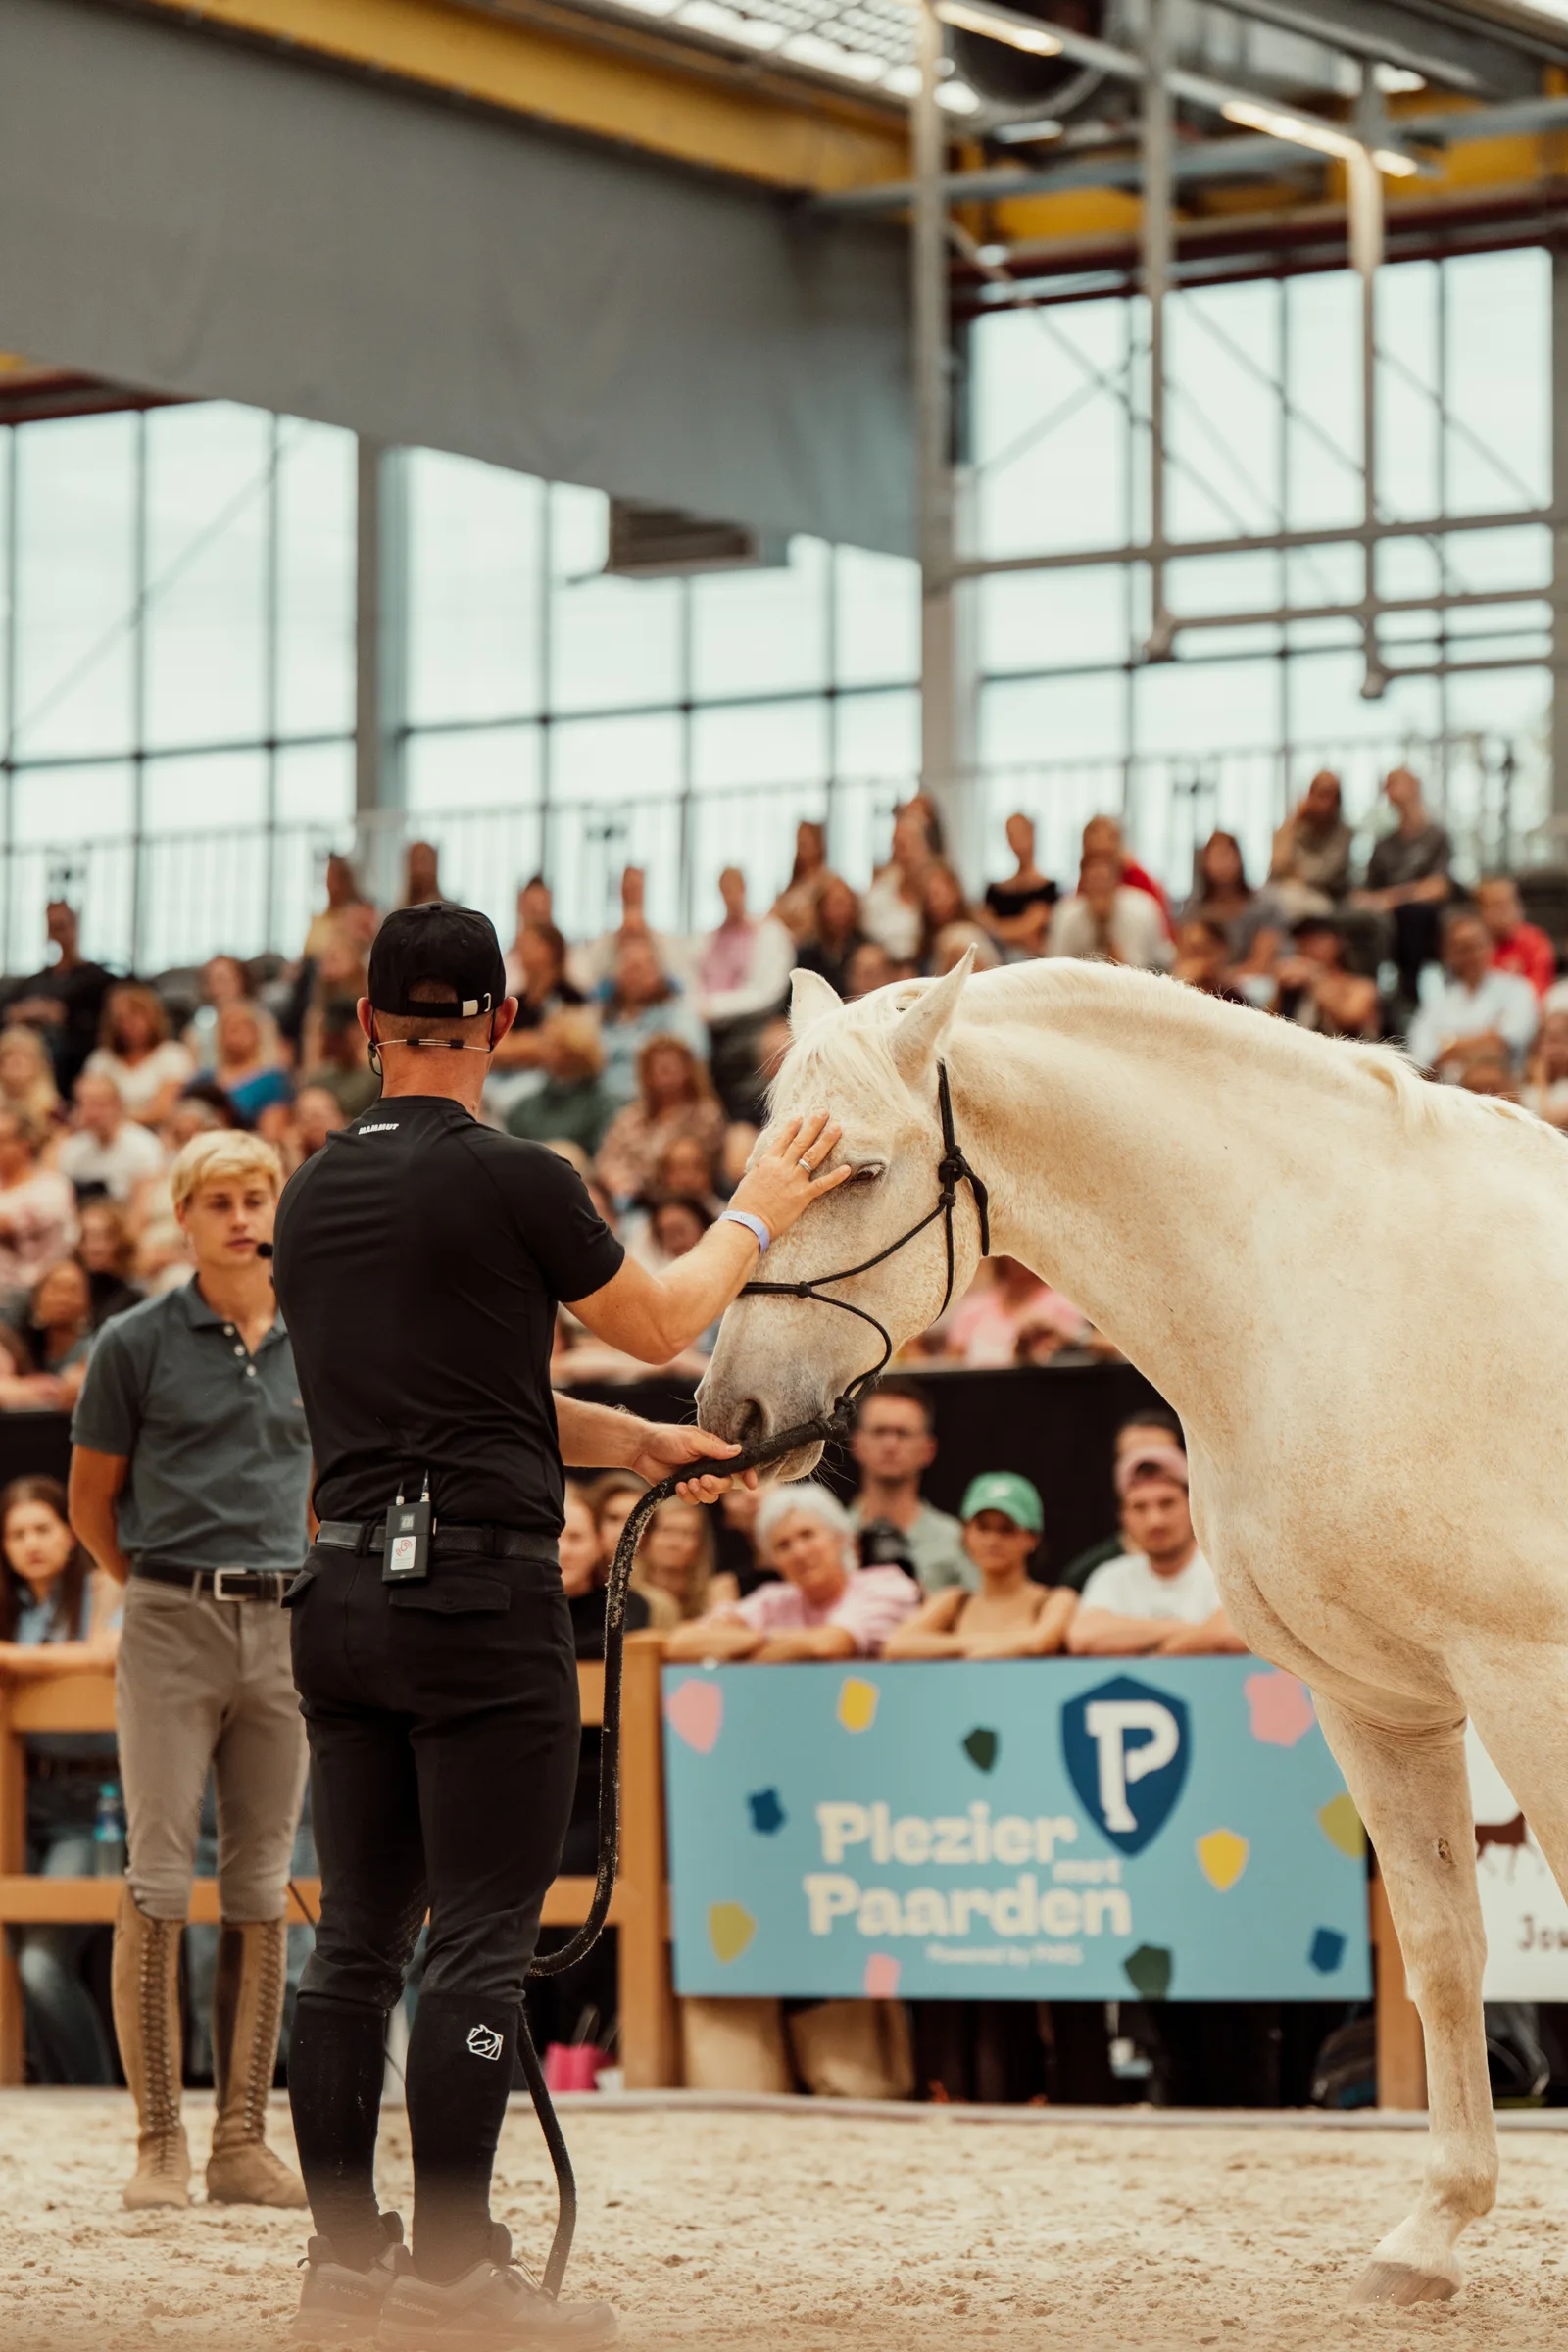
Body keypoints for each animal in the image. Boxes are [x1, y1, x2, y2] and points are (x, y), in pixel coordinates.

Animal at [697, 951, 1568, 2308]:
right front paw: (1429, 2234)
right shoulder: (1379, 1700)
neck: (1343, 1299)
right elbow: (1440, 1950)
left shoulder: (1531, 1680)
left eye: (865, 1171)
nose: (730, 1411)